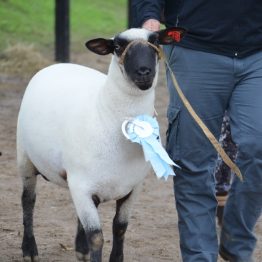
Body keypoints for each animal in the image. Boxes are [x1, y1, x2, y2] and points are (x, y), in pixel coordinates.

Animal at [16, 27, 184, 262]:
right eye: (118, 47)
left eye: (156, 41)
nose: (144, 72)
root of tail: (59, 64)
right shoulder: (81, 186)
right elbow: (96, 236)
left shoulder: (132, 188)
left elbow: (120, 228)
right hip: (25, 157)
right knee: (28, 201)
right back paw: (30, 250)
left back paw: (81, 250)